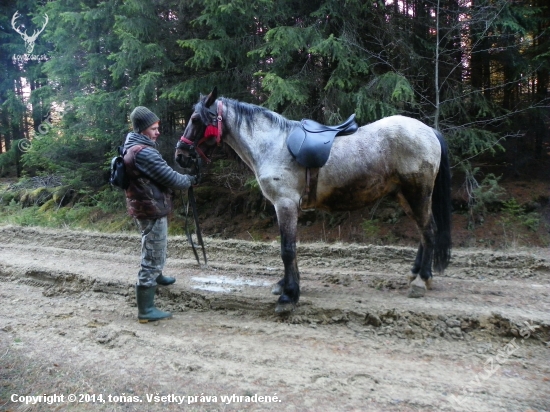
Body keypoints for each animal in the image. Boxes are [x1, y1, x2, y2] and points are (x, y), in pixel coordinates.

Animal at [177, 87, 452, 312]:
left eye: (195, 119)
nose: (180, 154)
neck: (272, 144)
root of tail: (429, 131)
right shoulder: (285, 206)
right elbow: (291, 249)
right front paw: (286, 285)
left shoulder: (285, 204)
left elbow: (287, 250)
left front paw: (289, 296)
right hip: (405, 196)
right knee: (423, 232)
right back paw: (416, 273)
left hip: (418, 193)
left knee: (429, 231)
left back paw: (421, 280)